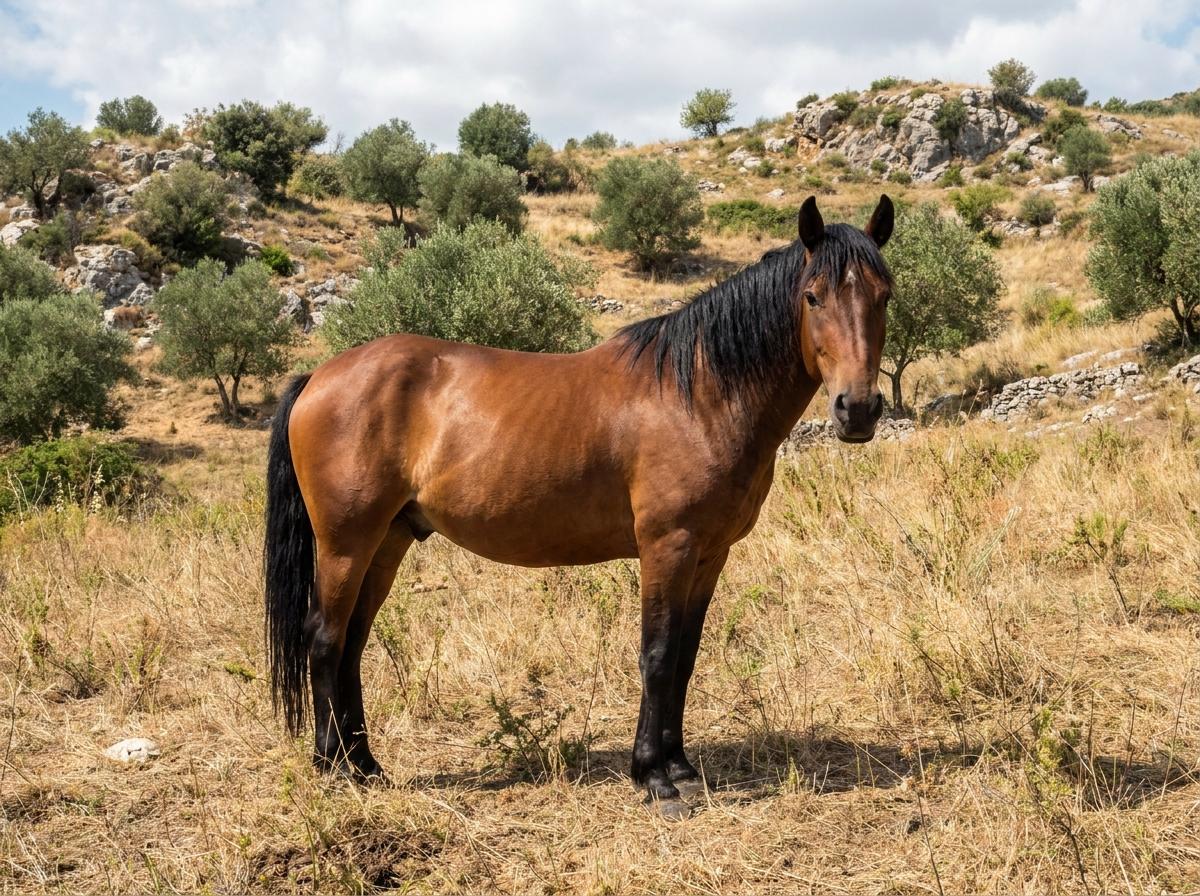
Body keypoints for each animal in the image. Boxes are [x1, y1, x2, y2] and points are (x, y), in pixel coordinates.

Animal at [264, 195, 894, 814]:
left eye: (883, 294)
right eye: (813, 296)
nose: (858, 409)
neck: (699, 393)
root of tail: (319, 375)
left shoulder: (710, 554)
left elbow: (684, 658)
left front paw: (682, 768)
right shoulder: (668, 547)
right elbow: (657, 655)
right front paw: (654, 779)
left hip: (388, 540)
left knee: (352, 643)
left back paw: (365, 765)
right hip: (345, 543)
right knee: (325, 639)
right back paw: (332, 765)